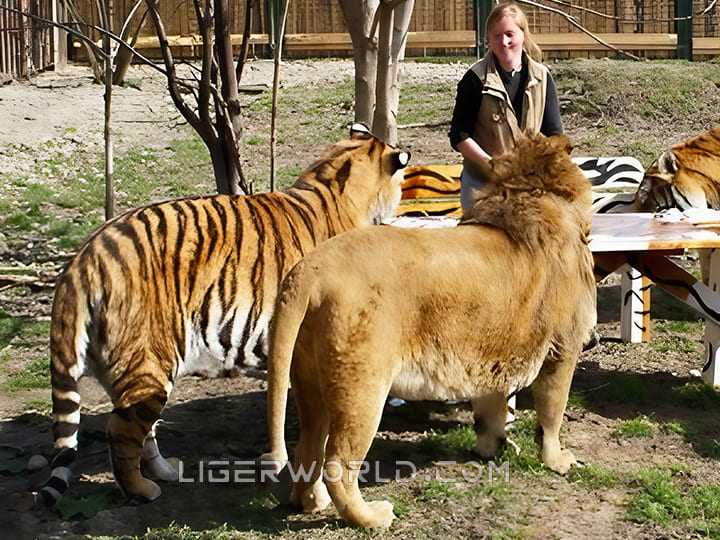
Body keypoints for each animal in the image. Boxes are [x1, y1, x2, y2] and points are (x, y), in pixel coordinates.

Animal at [39, 125, 410, 506]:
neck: (331, 183)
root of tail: (84, 257)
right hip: (150, 359)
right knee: (121, 431)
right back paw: (143, 489)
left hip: (136, 372)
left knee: (140, 428)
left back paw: (166, 471)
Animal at [258, 131, 596, 528]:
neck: (532, 193)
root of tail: (308, 271)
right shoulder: (563, 348)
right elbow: (551, 412)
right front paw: (558, 461)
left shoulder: (492, 352)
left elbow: (490, 410)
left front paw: (493, 449)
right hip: (363, 389)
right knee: (338, 464)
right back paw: (372, 516)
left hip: (310, 383)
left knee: (308, 448)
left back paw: (310, 503)